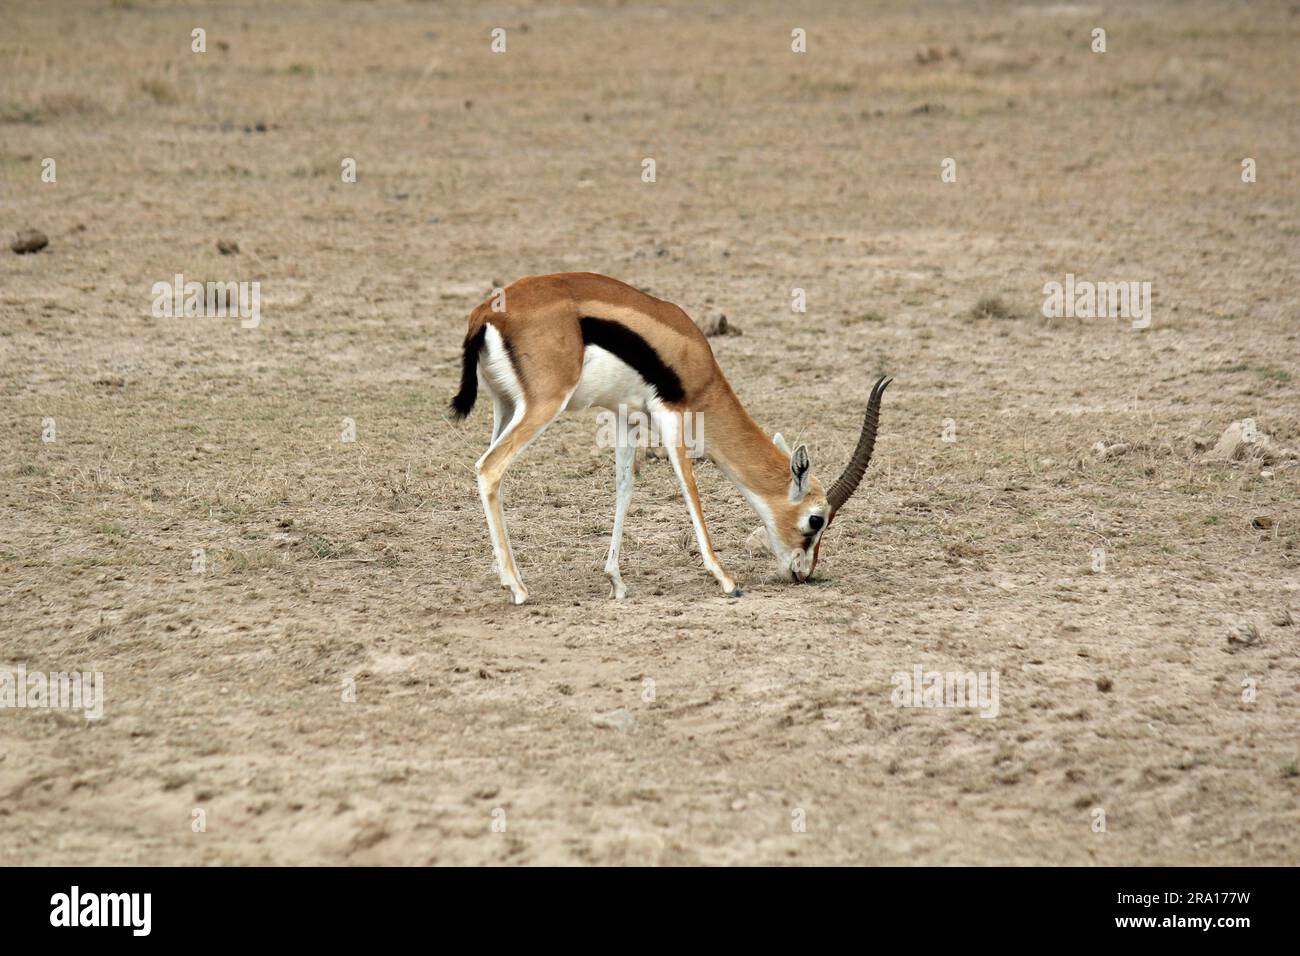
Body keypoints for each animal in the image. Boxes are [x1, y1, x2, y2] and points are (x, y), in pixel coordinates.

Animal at [451, 273, 890, 604]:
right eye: (816, 519)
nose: (803, 573)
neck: (695, 364)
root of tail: (485, 313)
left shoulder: (626, 418)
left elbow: (624, 488)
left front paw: (616, 581)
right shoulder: (674, 418)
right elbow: (689, 488)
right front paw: (726, 580)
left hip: (506, 407)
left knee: (491, 473)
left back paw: (506, 578)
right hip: (543, 406)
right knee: (489, 468)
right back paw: (518, 588)